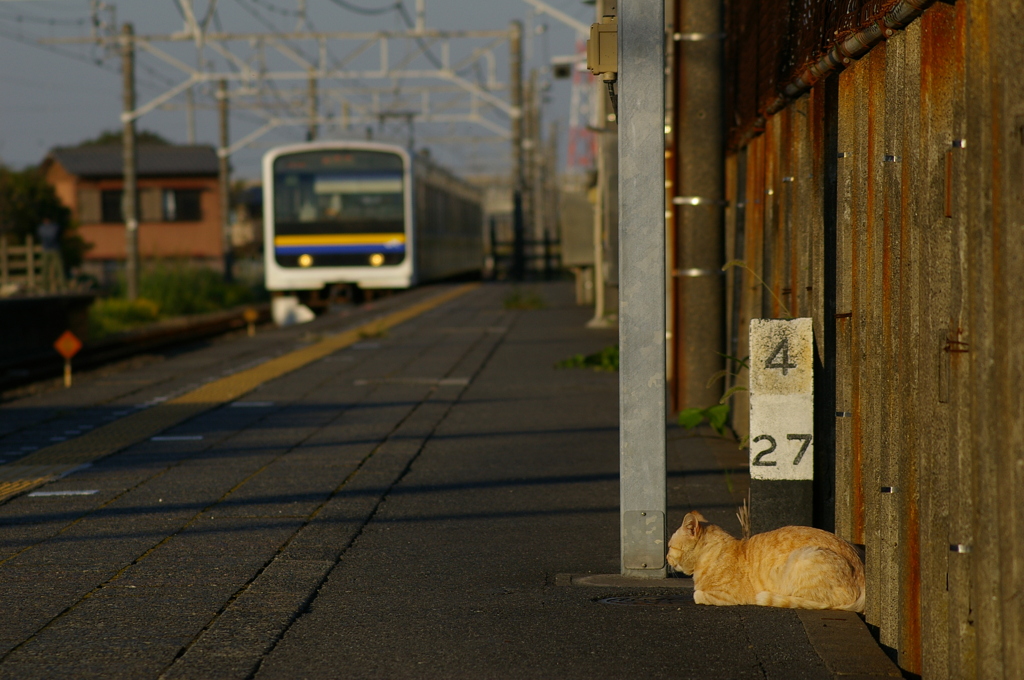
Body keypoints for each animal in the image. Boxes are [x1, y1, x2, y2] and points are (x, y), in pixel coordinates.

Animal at [671, 510, 864, 610]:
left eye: (669, 547)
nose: (666, 558)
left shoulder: (727, 595)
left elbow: (697, 594)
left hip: (807, 556)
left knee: (823, 603)